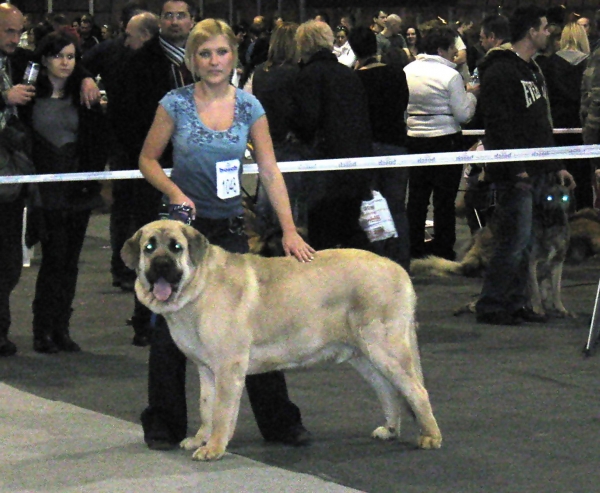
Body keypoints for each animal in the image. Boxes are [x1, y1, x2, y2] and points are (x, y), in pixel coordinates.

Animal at [122, 219, 440, 458]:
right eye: (149, 247)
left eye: (176, 248)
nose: (162, 266)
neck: (199, 287)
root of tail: (398, 269)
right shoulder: (206, 369)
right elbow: (206, 407)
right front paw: (200, 439)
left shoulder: (228, 367)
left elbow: (222, 411)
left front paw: (213, 448)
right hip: (363, 355)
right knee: (389, 391)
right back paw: (390, 429)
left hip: (386, 348)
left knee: (417, 391)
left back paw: (430, 437)